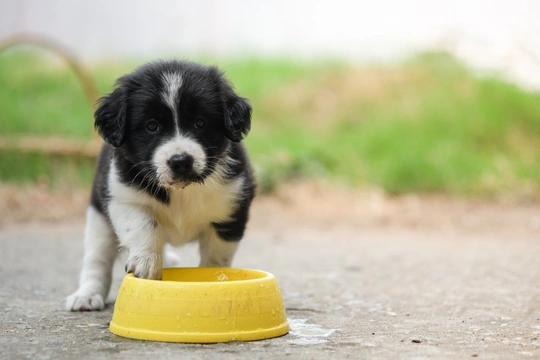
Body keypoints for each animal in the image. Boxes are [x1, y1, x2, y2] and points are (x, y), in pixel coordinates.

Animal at [65, 60, 255, 310]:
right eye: (152, 126)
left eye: (200, 123)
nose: (181, 161)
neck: (181, 191)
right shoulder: (123, 197)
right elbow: (144, 226)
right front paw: (146, 262)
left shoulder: (231, 210)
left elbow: (216, 257)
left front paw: (213, 281)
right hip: (98, 216)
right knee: (97, 259)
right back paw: (87, 294)